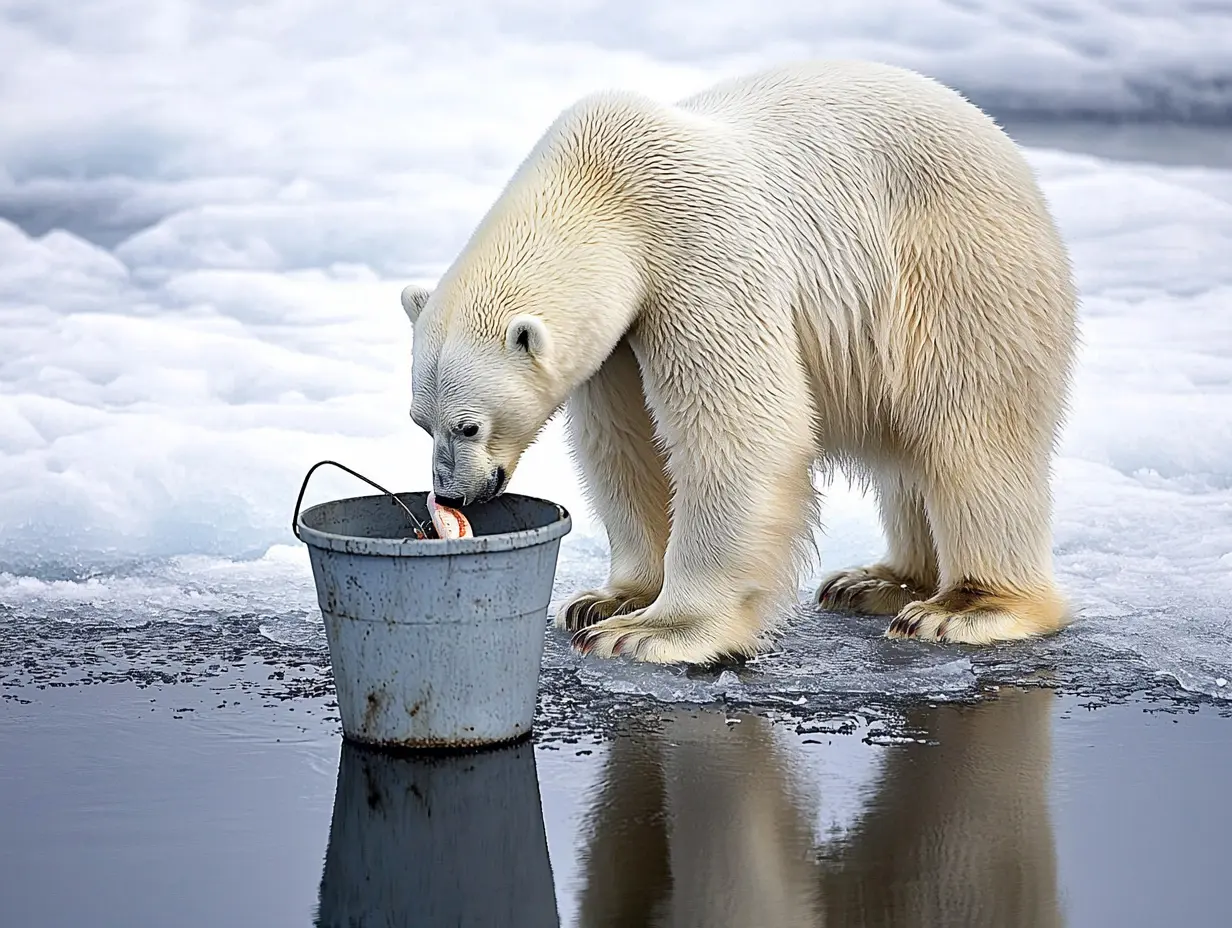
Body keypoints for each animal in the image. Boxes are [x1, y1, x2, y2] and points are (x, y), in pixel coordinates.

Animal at [398, 59, 1079, 665]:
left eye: (468, 426)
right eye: (419, 422)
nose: (453, 493)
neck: (605, 185)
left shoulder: (700, 250)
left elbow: (740, 430)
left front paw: (651, 632)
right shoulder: (618, 335)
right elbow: (624, 442)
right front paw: (606, 600)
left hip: (955, 270)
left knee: (971, 431)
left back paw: (963, 607)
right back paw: (876, 582)